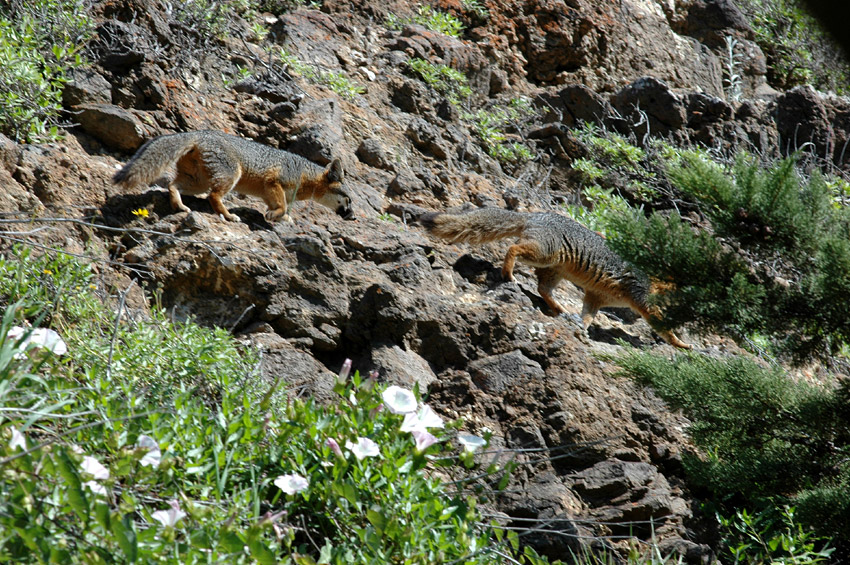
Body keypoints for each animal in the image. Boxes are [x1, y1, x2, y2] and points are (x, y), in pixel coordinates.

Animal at [112, 131, 352, 223]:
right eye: (348, 200)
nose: (353, 217)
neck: (305, 174)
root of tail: (201, 133)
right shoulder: (274, 182)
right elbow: (283, 205)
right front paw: (276, 215)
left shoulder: (269, 192)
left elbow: (281, 207)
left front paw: (281, 217)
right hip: (229, 176)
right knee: (214, 197)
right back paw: (228, 215)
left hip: (197, 182)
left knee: (172, 185)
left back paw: (179, 206)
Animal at [418, 207, 688, 348]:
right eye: (681, 279)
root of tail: (534, 215)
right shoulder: (640, 297)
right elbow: (662, 325)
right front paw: (682, 344)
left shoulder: (596, 296)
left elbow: (588, 315)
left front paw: (582, 329)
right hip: (544, 254)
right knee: (514, 248)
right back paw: (508, 274)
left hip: (553, 269)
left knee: (542, 289)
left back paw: (559, 309)